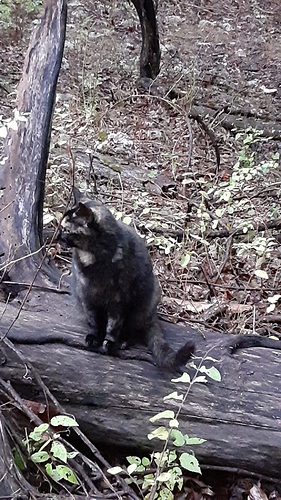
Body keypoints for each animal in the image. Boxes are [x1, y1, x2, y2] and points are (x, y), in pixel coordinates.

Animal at [58, 189, 194, 374]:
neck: (92, 257)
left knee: (132, 328)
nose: (57, 237)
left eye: (65, 229)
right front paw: (93, 338)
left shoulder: (119, 299)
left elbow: (114, 325)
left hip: (145, 301)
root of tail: (153, 315)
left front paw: (110, 342)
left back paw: (123, 341)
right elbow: (93, 321)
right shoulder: (86, 293)